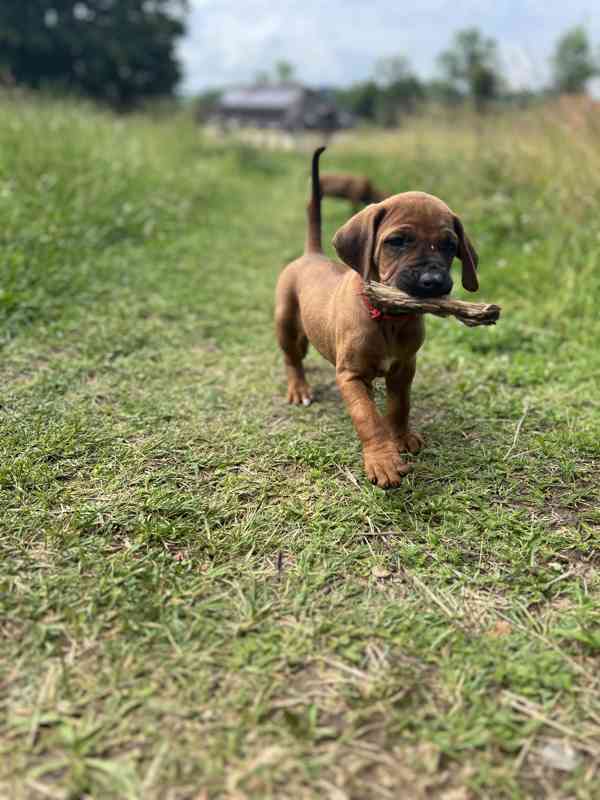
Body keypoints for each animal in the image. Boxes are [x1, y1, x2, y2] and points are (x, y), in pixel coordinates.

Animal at [276, 149, 478, 488]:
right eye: (397, 241)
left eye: (450, 245)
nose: (433, 280)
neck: (388, 319)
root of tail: (312, 254)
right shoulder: (351, 376)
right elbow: (368, 418)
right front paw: (382, 460)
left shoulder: (404, 367)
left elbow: (399, 406)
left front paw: (401, 437)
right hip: (285, 322)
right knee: (292, 357)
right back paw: (299, 389)